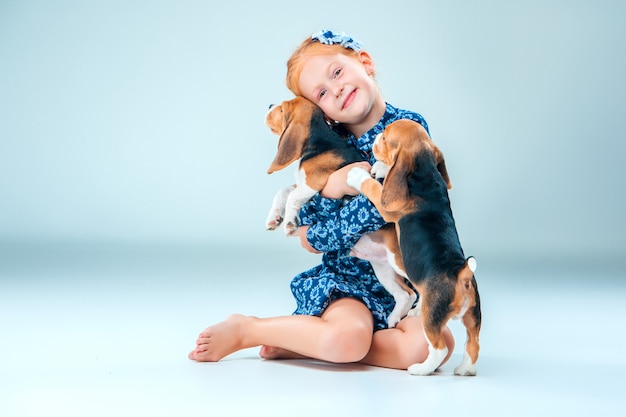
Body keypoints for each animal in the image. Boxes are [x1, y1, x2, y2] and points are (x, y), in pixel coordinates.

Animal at [344, 118, 480, 376]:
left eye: (385, 138)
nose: (374, 137)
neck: (426, 173)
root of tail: (463, 274)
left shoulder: (385, 206)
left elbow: (373, 187)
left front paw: (359, 174)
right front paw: (380, 168)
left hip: (430, 315)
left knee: (438, 348)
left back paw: (420, 369)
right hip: (472, 317)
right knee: (474, 344)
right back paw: (464, 369)